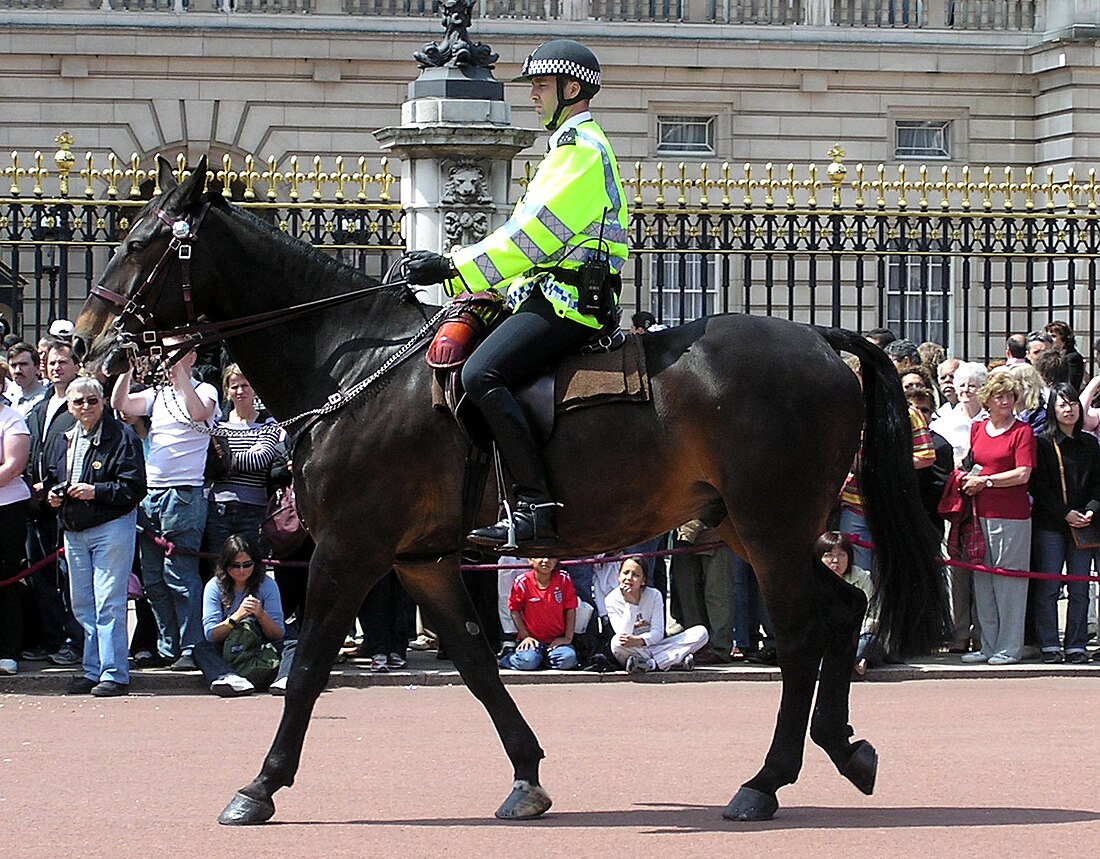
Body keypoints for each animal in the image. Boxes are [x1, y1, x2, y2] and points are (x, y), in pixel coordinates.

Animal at [75, 157, 954, 827]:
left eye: (143, 241)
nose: (87, 343)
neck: (355, 364)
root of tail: (821, 336)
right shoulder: (420, 559)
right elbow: (474, 661)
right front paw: (527, 773)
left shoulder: (350, 551)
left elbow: (314, 661)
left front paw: (260, 784)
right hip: (747, 526)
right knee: (842, 611)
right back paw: (844, 749)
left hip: (771, 528)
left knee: (804, 633)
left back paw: (764, 781)